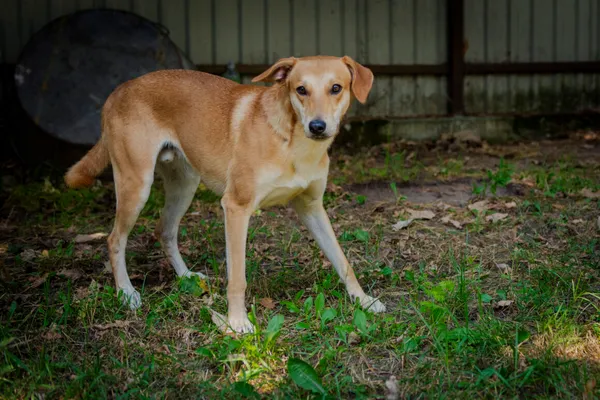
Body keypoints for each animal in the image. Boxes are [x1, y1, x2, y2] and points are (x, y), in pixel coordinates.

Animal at [64, 54, 384, 332]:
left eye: (336, 88)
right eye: (301, 89)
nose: (317, 126)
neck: (292, 142)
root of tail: (118, 90)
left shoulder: (312, 207)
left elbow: (342, 260)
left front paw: (364, 300)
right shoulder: (236, 208)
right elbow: (237, 278)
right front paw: (237, 322)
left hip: (184, 185)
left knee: (164, 230)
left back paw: (185, 277)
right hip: (136, 185)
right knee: (114, 239)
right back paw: (126, 293)